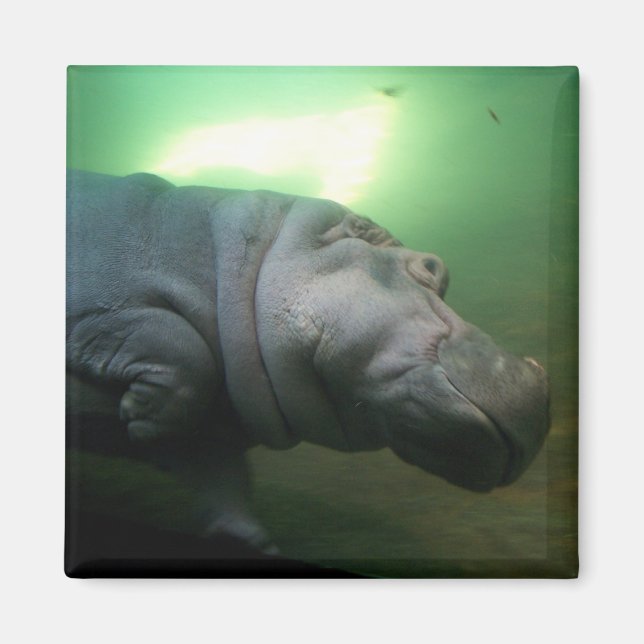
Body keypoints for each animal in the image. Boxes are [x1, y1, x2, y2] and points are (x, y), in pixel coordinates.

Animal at [66, 170, 549, 562]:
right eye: (432, 267)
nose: (540, 384)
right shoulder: (100, 302)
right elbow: (175, 340)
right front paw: (139, 414)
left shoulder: (210, 433)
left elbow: (223, 483)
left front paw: (249, 545)